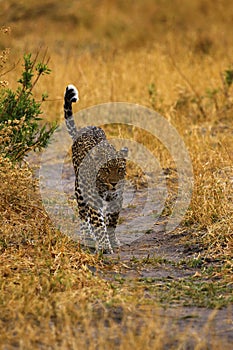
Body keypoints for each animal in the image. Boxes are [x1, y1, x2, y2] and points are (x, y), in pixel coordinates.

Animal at [63, 85, 128, 254]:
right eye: (105, 170)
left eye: (120, 170)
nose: (113, 183)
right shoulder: (93, 199)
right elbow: (99, 223)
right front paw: (105, 245)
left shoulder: (117, 198)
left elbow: (112, 221)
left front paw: (113, 241)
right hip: (79, 191)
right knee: (83, 215)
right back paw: (87, 236)